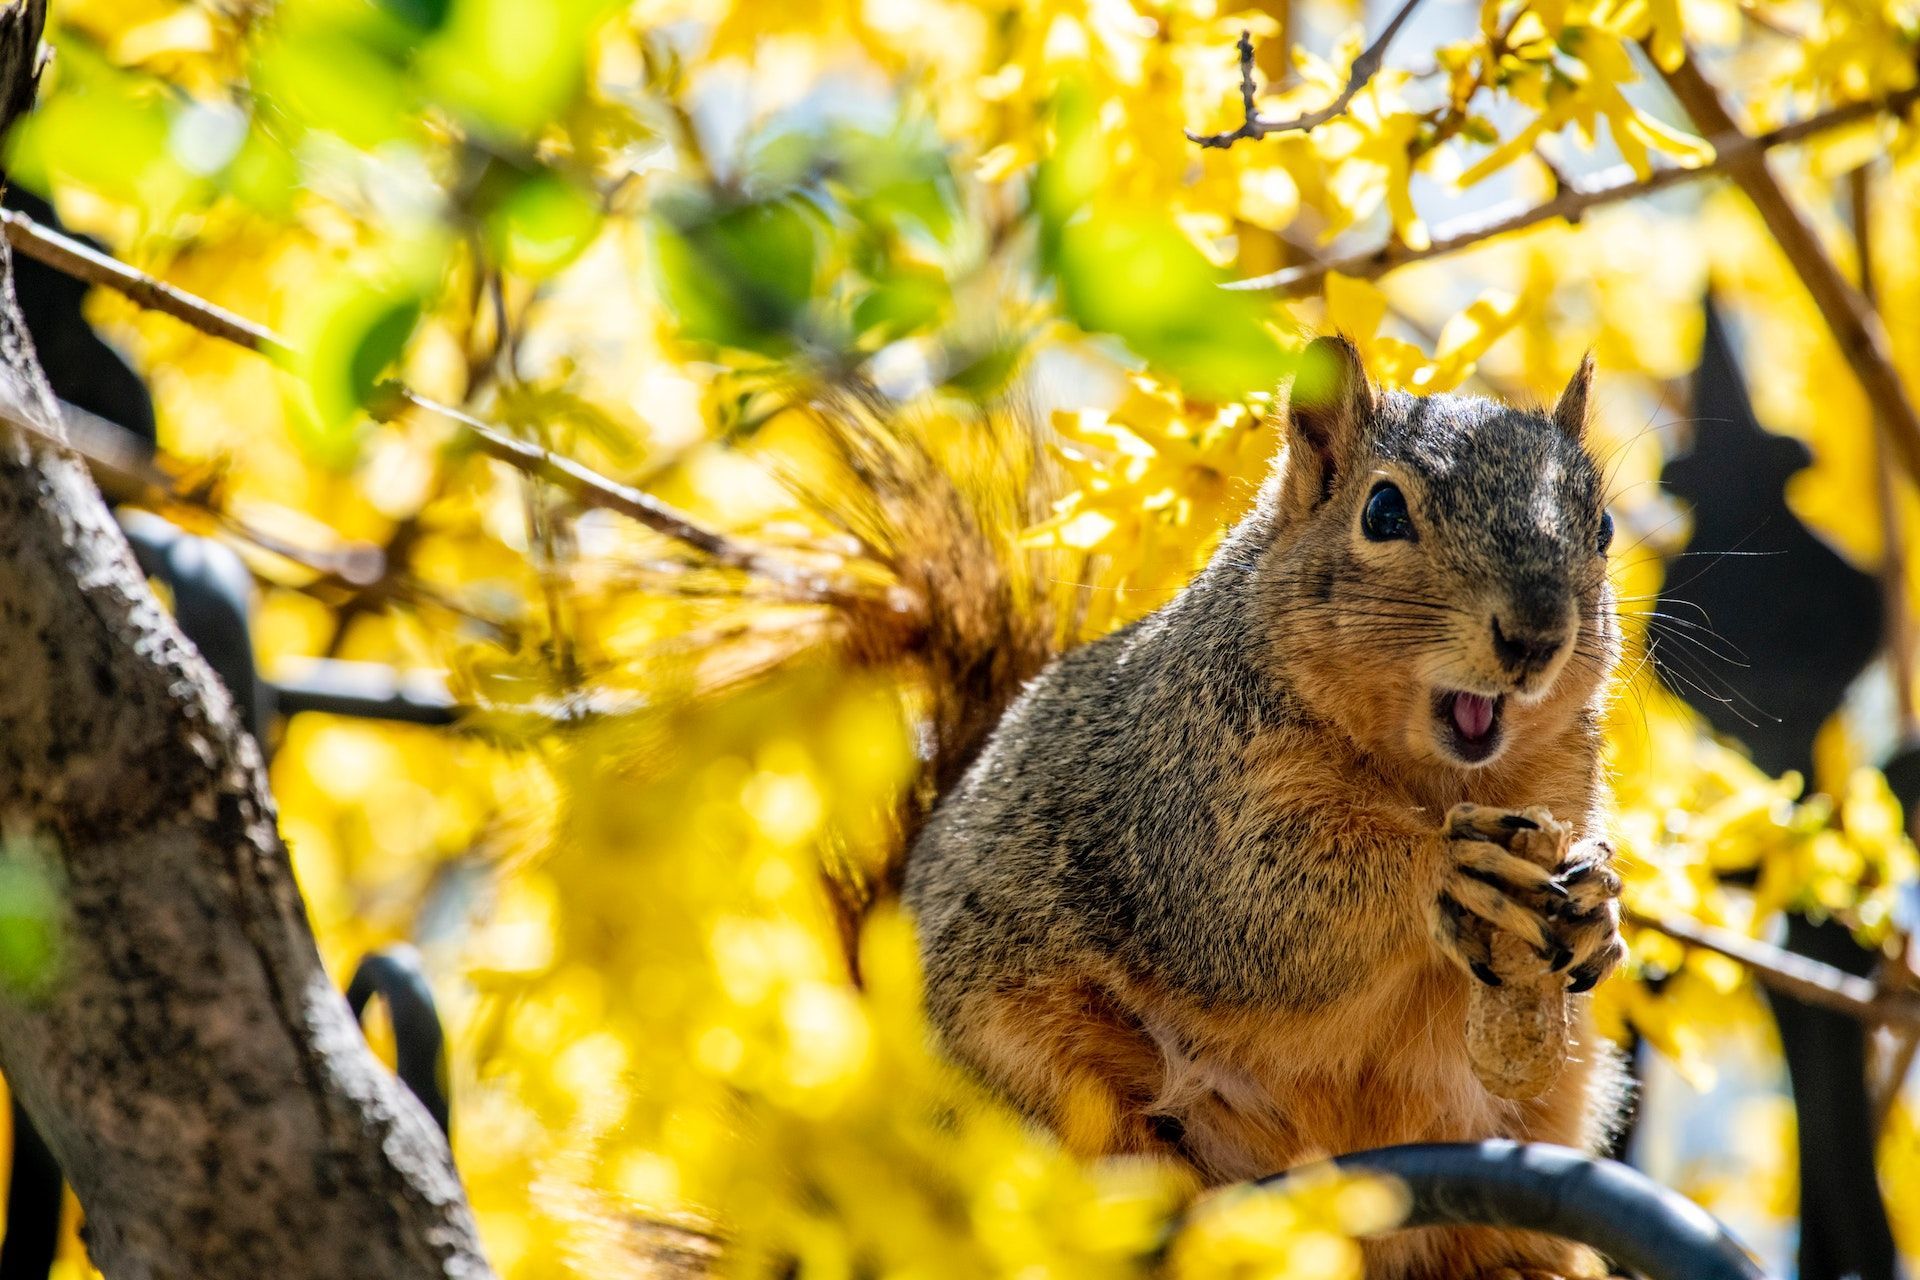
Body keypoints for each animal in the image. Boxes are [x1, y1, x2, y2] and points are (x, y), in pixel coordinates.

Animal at [902, 339, 1635, 1280]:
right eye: (1384, 510)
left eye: (1603, 527)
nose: (1537, 634)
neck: (1437, 780)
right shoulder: (1184, 805)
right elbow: (1260, 911)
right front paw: (1445, 868)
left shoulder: (1561, 791)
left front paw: (1597, 912)